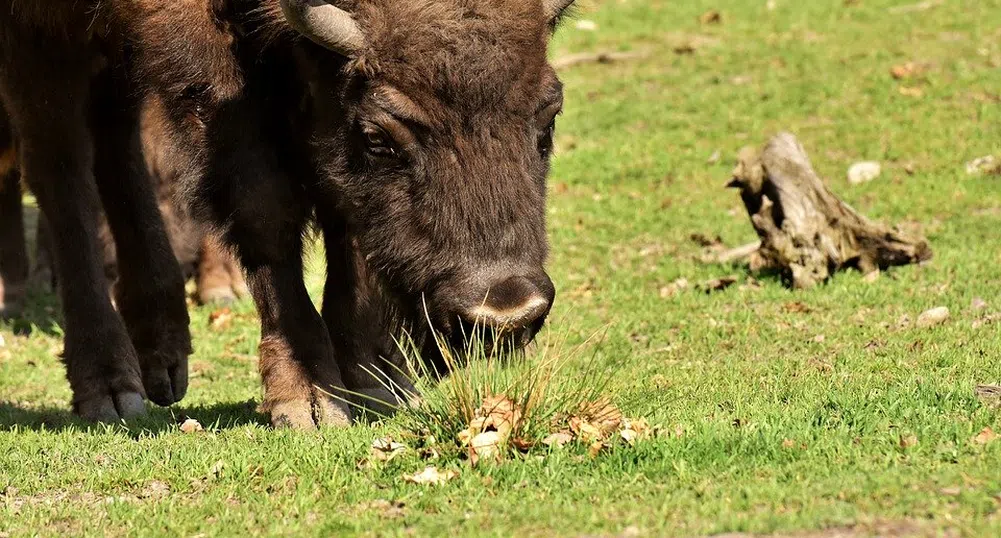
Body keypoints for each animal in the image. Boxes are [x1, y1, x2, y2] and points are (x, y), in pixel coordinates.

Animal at [0, 0, 576, 428]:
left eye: (549, 118)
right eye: (379, 139)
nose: (504, 313)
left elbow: (342, 202)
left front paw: (374, 379)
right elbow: (264, 200)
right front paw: (309, 396)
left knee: (115, 142)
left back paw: (162, 352)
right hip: (40, 39)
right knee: (61, 168)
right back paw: (110, 389)